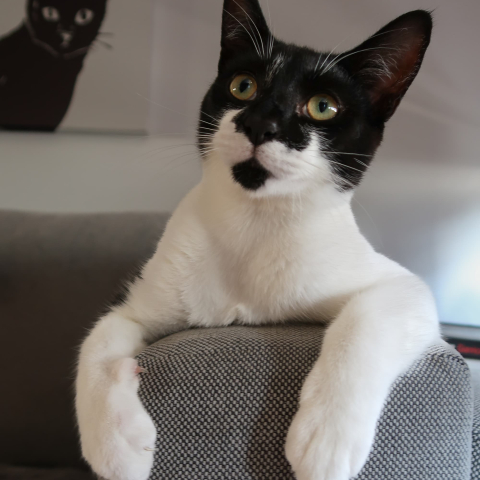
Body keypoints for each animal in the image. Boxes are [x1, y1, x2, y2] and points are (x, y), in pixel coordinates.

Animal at [75, 0, 438, 480]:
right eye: (243, 86)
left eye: (323, 106)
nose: (258, 122)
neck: (255, 228)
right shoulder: (135, 304)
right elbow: (98, 341)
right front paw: (114, 445)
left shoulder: (399, 285)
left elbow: (367, 318)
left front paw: (327, 438)